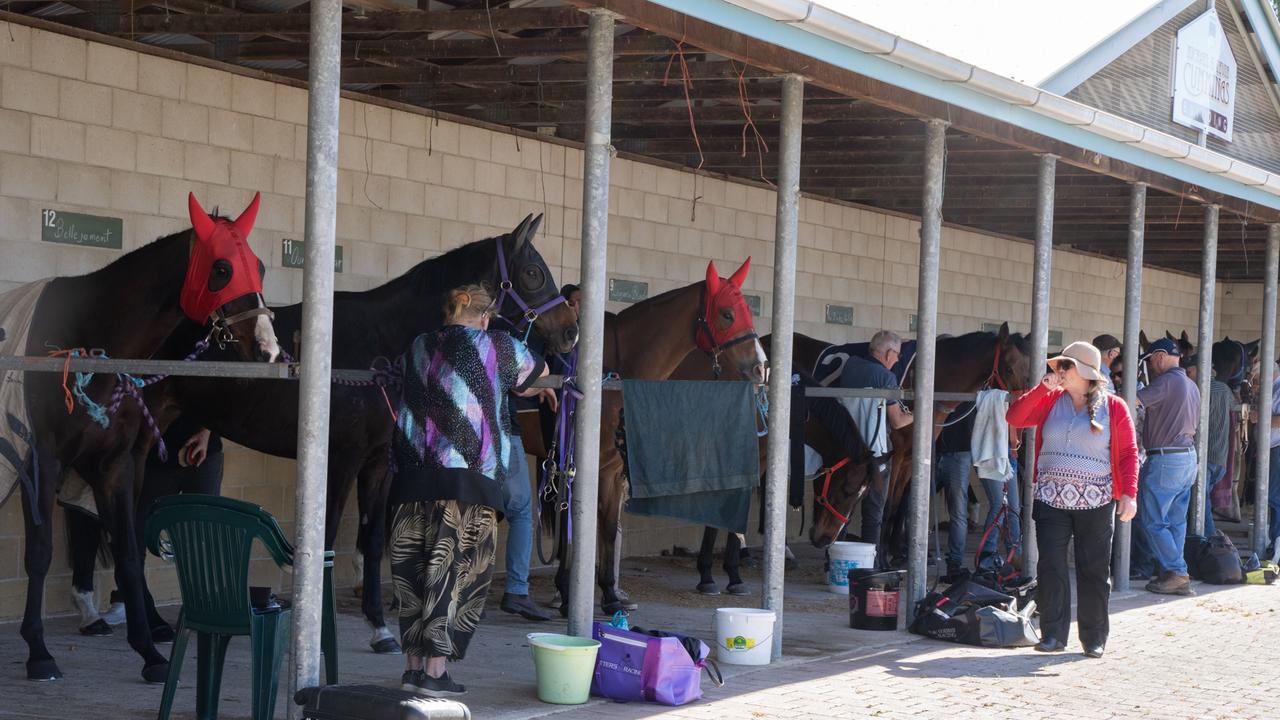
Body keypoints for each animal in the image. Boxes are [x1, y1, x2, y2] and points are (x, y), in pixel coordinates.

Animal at [11, 193, 277, 681]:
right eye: (222, 268)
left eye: (260, 266)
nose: (268, 349)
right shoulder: (43, 460)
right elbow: (39, 552)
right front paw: (38, 650)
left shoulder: (115, 465)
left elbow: (129, 553)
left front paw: (149, 651)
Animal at [545, 260, 762, 614]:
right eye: (727, 313)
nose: (761, 367)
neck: (616, 371)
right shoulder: (577, 465)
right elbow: (574, 528)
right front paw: (567, 595)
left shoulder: (611, 470)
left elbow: (607, 527)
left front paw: (609, 595)